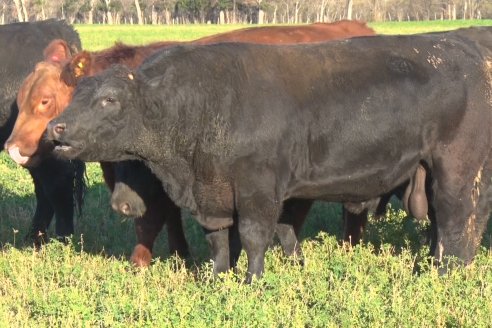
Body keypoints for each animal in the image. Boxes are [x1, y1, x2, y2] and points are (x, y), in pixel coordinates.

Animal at [47, 26, 492, 280]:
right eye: (76, 93)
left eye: (109, 99)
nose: (57, 128)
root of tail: (459, 48)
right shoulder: (213, 193)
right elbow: (218, 240)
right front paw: (218, 278)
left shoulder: (258, 189)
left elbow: (254, 236)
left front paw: (253, 281)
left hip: (456, 171)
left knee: (457, 221)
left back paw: (445, 275)